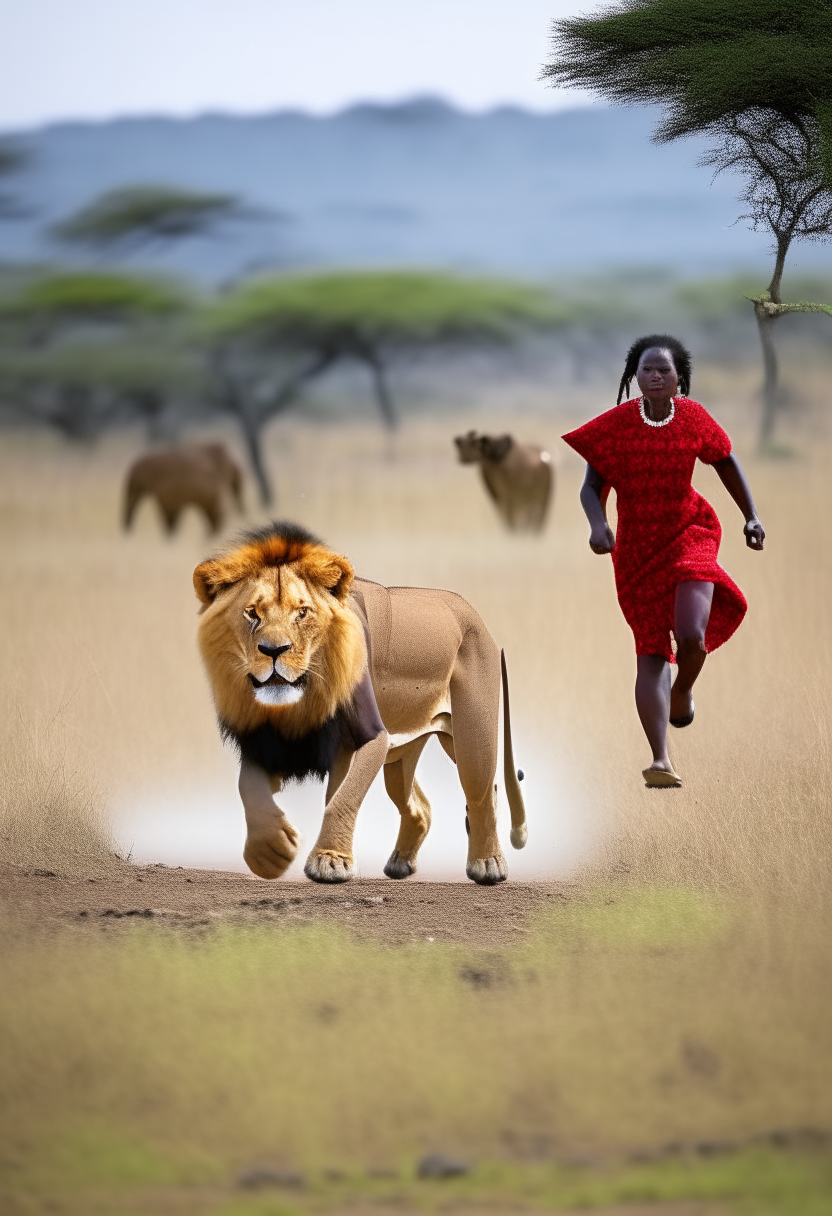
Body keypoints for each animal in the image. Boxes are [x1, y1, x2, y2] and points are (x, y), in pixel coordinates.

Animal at [193, 520, 525, 885]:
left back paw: (488, 864)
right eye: (251, 613)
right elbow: (248, 785)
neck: (304, 698)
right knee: (418, 806)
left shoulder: (370, 737)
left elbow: (342, 798)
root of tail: (471, 611)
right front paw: (269, 852)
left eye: (302, 612)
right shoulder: (276, 741)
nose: (273, 650)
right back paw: (399, 864)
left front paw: (330, 860)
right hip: (403, 752)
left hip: (472, 737)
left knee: (482, 793)